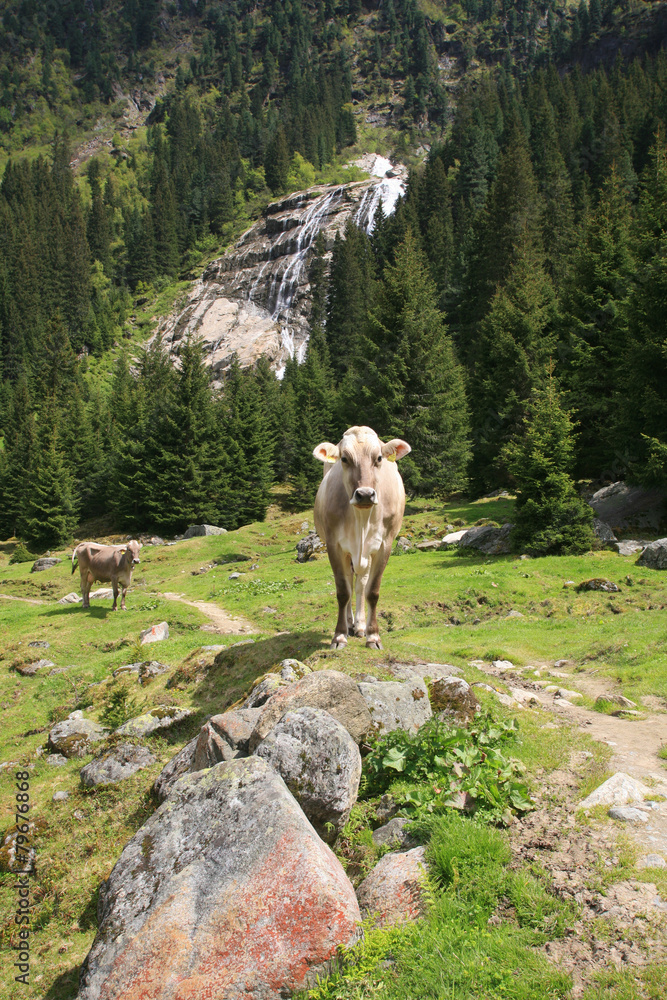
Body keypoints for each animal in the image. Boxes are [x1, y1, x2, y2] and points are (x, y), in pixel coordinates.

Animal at [313, 426, 411, 651]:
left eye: (379, 458)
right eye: (344, 458)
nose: (365, 494)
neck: (362, 520)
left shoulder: (384, 545)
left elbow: (372, 591)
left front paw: (373, 635)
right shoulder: (334, 545)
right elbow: (342, 591)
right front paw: (339, 636)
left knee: (360, 585)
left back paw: (359, 626)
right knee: (350, 584)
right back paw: (350, 625)